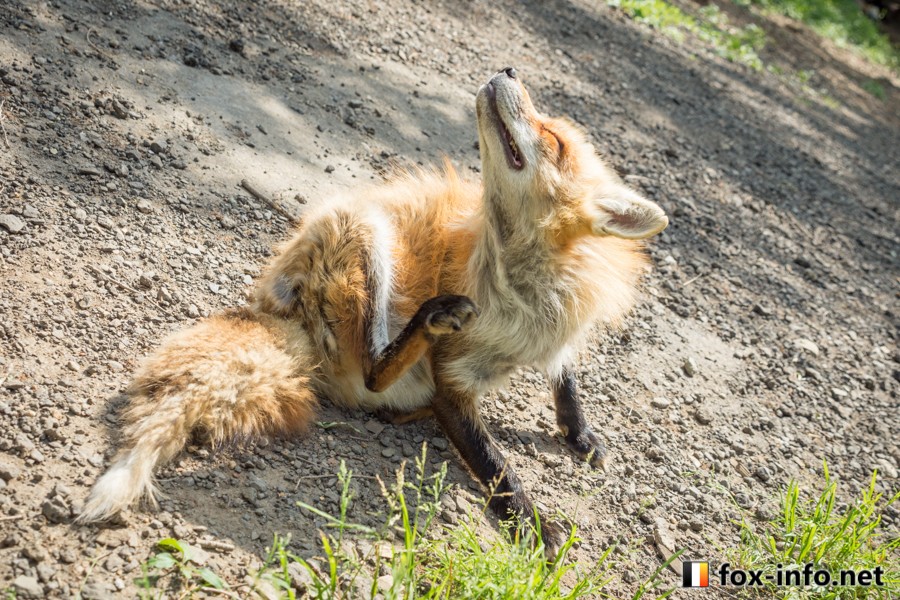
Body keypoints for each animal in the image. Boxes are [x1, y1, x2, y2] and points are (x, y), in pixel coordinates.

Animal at [78, 67, 668, 549]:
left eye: (552, 139)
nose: (508, 70)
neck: (523, 299)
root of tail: (281, 311)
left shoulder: (561, 333)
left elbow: (566, 383)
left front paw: (579, 433)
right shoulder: (454, 379)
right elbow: (496, 465)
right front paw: (532, 525)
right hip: (367, 234)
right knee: (375, 369)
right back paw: (428, 323)